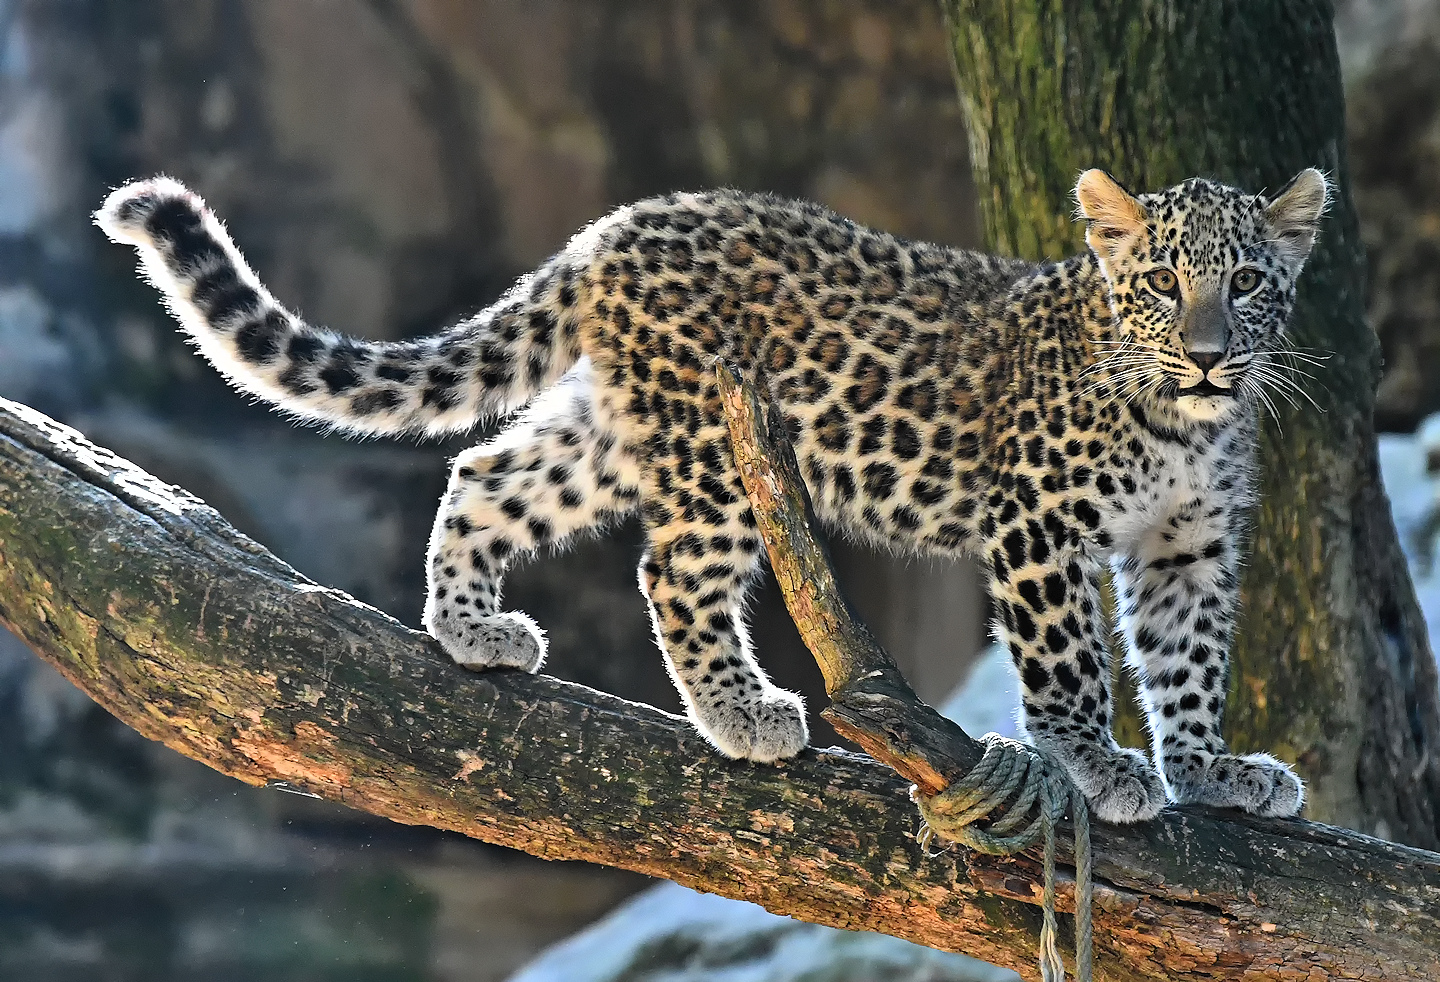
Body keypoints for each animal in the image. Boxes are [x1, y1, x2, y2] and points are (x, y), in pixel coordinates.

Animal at [92, 164, 1324, 823]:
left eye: (1247, 282)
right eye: (1162, 281)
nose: (1210, 357)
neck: (1183, 421)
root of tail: (610, 230)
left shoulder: (1186, 548)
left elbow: (1189, 664)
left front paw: (1211, 770)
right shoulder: (1038, 523)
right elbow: (1068, 660)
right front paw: (1097, 763)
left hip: (612, 430)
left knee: (487, 471)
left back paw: (471, 631)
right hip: (715, 444)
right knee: (670, 570)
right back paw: (743, 715)